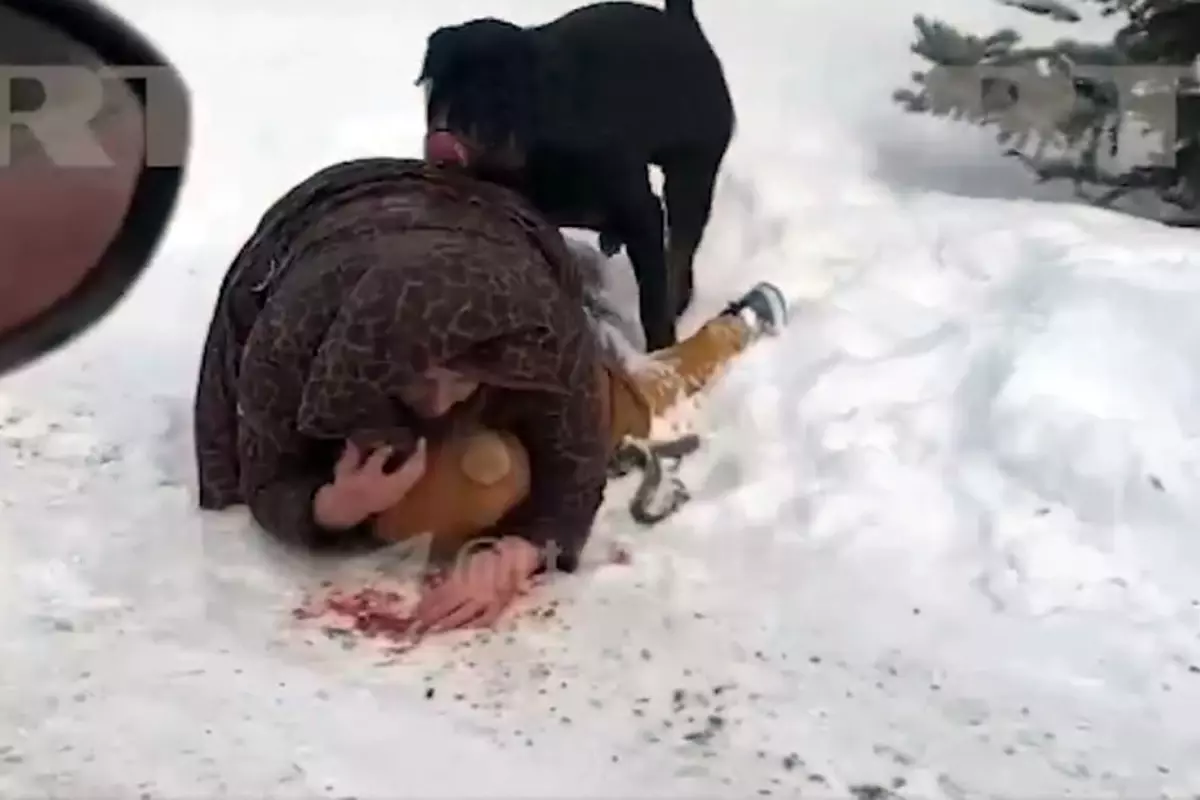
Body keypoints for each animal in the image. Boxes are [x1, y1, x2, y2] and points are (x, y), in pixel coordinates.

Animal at [415, 0, 729, 350]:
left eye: (499, 91)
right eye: (437, 84)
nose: (444, 135)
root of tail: (685, 26)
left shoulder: (639, 211)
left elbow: (652, 300)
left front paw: (661, 351)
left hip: (693, 169)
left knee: (681, 243)